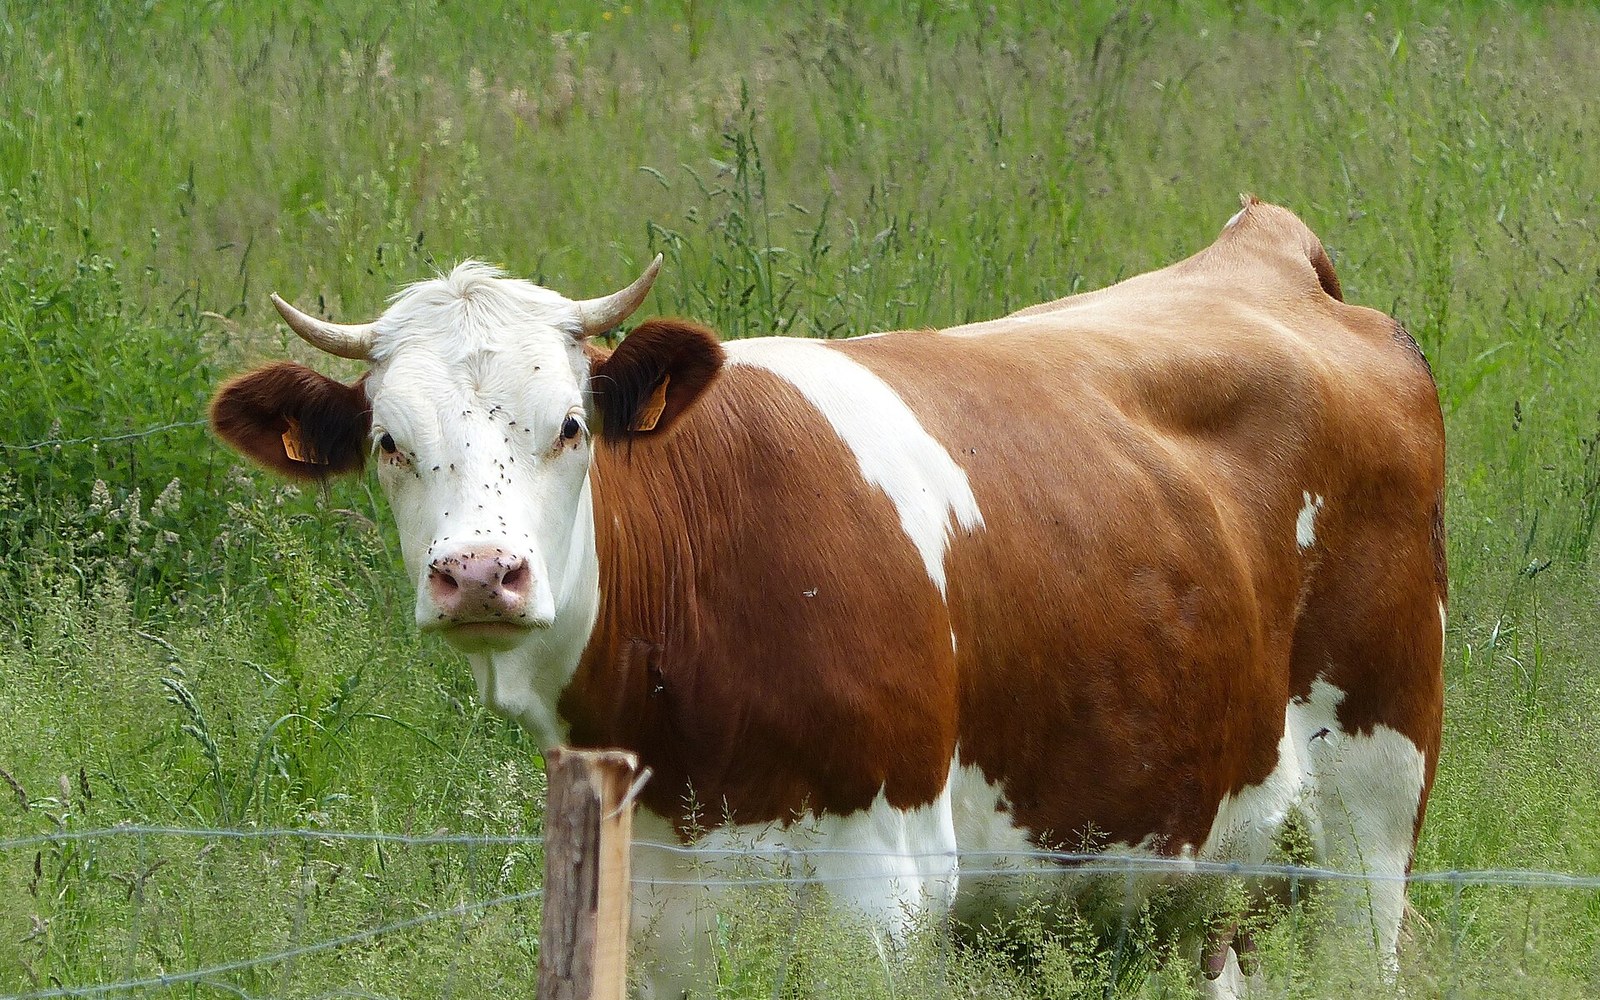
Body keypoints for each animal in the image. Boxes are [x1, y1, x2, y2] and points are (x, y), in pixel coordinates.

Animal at [211, 198, 1446, 997]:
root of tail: (1260, 250)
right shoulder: (655, 907)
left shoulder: (885, 890)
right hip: (1197, 862)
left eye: (569, 425)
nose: (477, 574)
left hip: (1371, 805)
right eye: (389, 442)